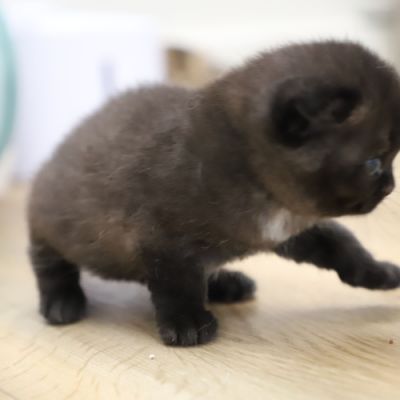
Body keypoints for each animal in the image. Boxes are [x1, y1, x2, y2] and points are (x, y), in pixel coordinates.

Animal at [28, 40, 400, 346]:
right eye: (373, 162)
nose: (390, 186)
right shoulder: (162, 241)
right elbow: (178, 283)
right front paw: (187, 323)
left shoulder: (294, 227)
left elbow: (344, 246)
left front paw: (379, 272)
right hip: (50, 228)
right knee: (50, 266)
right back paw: (62, 302)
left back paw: (226, 283)